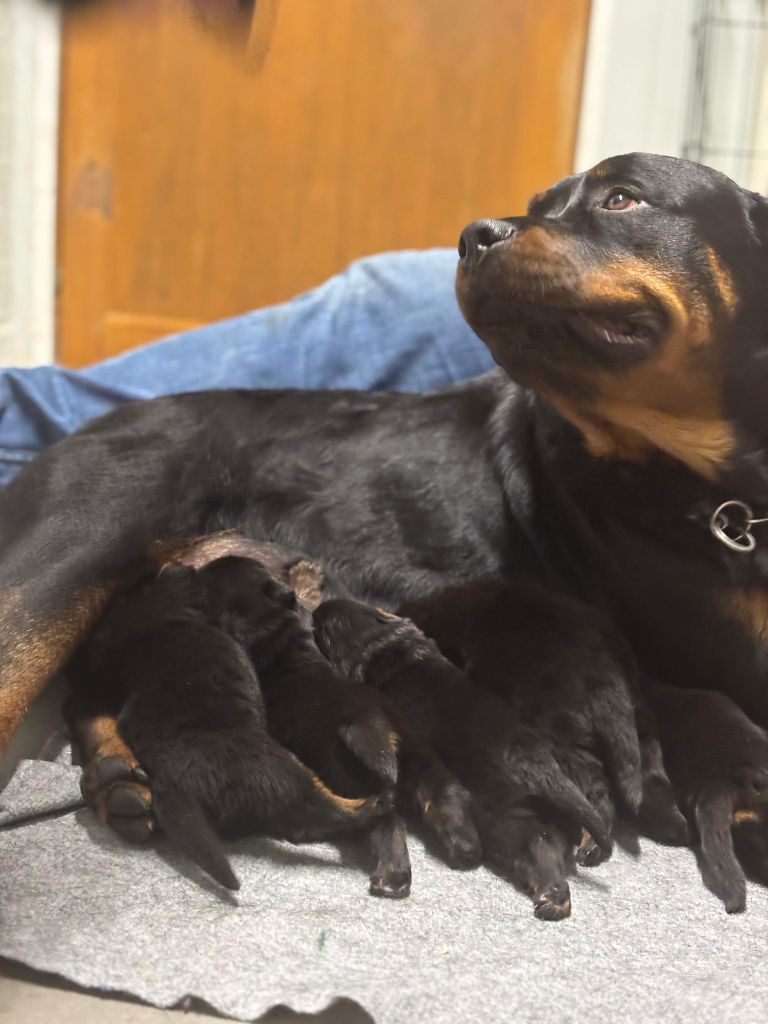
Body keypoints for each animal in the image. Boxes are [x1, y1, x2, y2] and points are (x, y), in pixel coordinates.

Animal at [313, 598, 614, 917]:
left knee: (535, 844)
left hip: (504, 811)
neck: (377, 641)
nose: (314, 610)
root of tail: (538, 766)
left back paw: (553, 899)